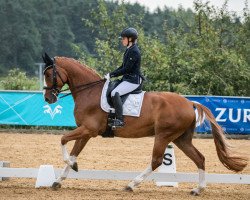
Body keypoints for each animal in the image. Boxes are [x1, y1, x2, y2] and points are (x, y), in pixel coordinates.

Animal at [42, 54, 247, 195]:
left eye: (50, 74)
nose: (48, 98)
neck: (89, 91)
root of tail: (189, 102)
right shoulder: (85, 132)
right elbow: (74, 153)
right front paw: (60, 179)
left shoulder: (88, 130)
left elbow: (62, 139)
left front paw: (71, 168)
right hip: (181, 139)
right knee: (200, 158)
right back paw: (198, 189)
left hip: (163, 135)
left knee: (156, 161)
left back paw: (131, 184)